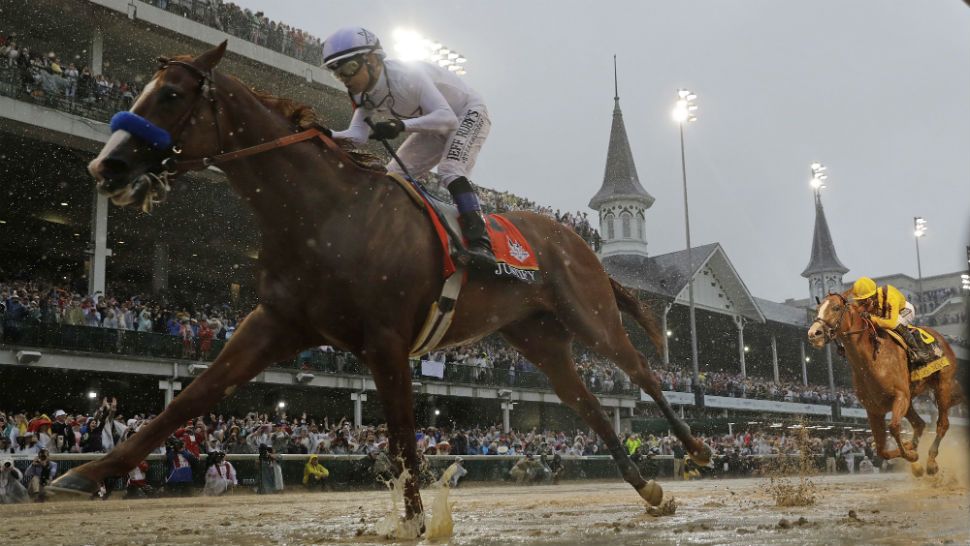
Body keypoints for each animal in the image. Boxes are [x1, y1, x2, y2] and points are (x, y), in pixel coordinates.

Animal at [47, 41, 712, 520]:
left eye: (171, 94)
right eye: (142, 88)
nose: (107, 164)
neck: (323, 214)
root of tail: (580, 242)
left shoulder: (388, 341)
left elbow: (402, 438)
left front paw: (417, 521)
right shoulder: (276, 323)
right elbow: (192, 396)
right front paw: (83, 473)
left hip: (590, 316)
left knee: (643, 373)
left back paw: (696, 447)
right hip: (540, 339)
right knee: (592, 408)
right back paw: (649, 489)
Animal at [808, 292, 960, 474]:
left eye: (836, 308)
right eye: (818, 308)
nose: (813, 333)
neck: (872, 360)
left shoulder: (900, 397)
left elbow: (893, 427)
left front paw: (912, 456)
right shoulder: (874, 409)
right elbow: (881, 450)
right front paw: (911, 454)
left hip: (942, 385)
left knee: (942, 424)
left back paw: (930, 461)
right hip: (911, 400)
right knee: (920, 424)